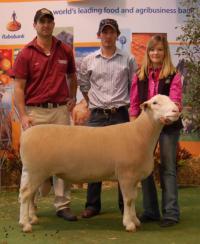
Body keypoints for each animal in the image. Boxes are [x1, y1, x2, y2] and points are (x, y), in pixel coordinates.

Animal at [19, 95, 181, 233]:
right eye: (155, 103)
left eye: (171, 100)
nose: (176, 111)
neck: (140, 134)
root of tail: (26, 135)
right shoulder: (126, 175)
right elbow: (128, 200)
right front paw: (129, 224)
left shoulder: (133, 178)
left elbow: (133, 198)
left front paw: (135, 220)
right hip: (36, 171)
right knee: (26, 194)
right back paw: (25, 225)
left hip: (32, 172)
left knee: (28, 195)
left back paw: (31, 219)